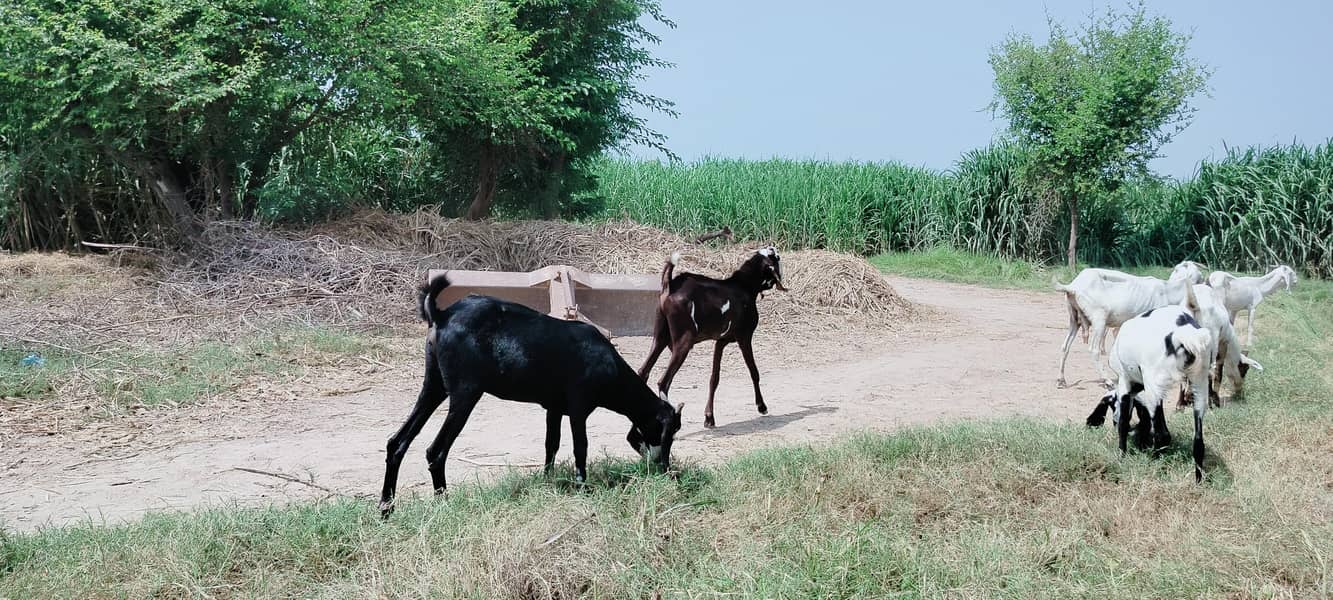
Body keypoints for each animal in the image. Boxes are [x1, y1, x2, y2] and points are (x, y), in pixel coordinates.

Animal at [379, 274, 684, 518]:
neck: (608, 364)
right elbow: (580, 446)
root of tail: (442, 314)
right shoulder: (579, 406)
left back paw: (386, 508)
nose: (667, 469)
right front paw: (583, 487)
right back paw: (443, 503)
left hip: (434, 385)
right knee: (436, 450)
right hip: (465, 392)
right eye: (668, 432)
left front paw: (548, 479)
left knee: (397, 442)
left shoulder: (554, 408)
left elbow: (552, 444)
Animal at [637, 247, 785, 429]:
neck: (743, 285)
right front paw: (762, 406)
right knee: (663, 382)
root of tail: (670, 286)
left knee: (644, 371)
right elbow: (754, 371)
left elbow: (714, 378)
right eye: (777, 257)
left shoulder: (720, 342)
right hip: (684, 342)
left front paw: (709, 417)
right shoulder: (745, 337)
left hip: (660, 337)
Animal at [1054, 262, 1202, 388]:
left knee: (1064, 347)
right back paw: (1107, 380)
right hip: (1099, 320)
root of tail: (1073, 286)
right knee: (1094, 350)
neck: (1167, 291)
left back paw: (1061, 380)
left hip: (1074, 320)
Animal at [1085, 286, 1214, 482]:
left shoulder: (1125, 382)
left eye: (1111, 405)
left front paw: (1121, 455)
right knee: (1198, 442)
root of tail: (1184, 333)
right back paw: (1198, 480)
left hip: (1155, 387)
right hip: (1199, 385)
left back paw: (1153, 462)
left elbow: (1124, 422)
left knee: (1163, 435)